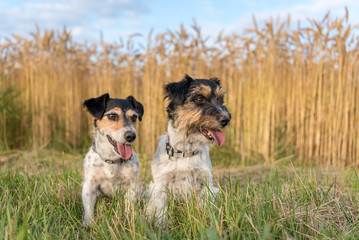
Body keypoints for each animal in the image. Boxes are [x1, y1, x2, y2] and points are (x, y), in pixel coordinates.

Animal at [81, 93, 143, 226]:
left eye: (134, 117)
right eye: (112, 115)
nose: (131, 136)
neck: (112, 159)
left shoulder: (131, 187)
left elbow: (129, 208)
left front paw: (129, 222)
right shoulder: (90, 186)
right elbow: (88, 209)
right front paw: (88, 224)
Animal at [148, 74, 232, 223]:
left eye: (221, 99)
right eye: (199, 99)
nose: (226, 119)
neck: (185, 151)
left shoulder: (204, 182)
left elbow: (205, 206)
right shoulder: (161, 183)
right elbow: (161, 209)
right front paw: (161, 225)